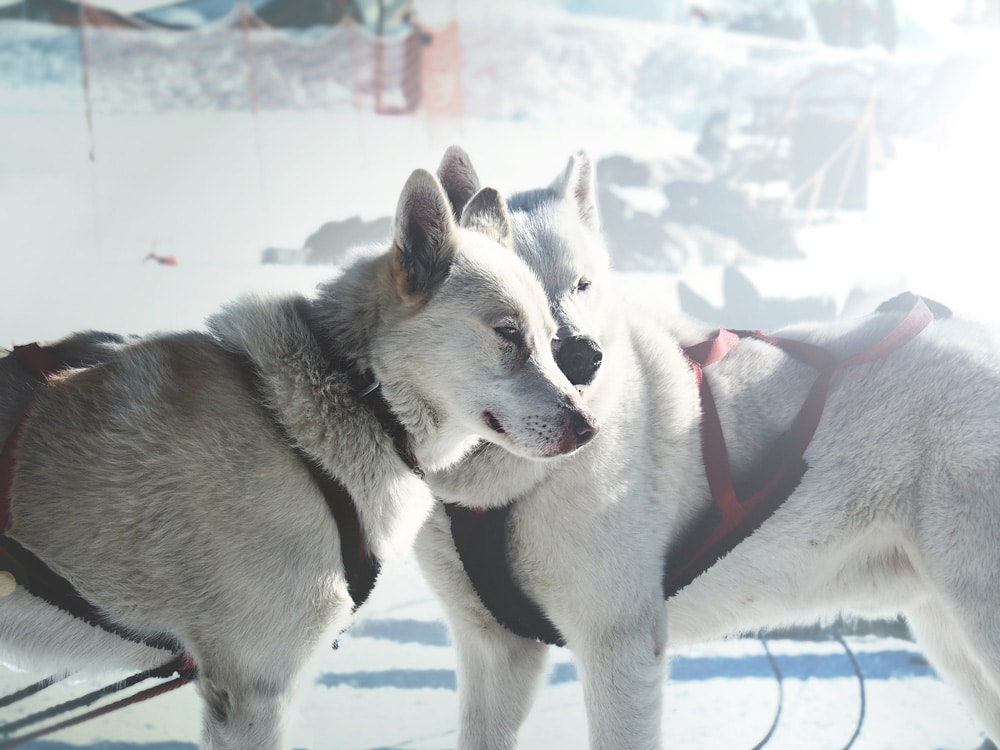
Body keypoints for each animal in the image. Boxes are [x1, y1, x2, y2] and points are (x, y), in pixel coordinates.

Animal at [414, 144, 1000, 748]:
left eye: (582, 284)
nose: (583, 356)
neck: (502, 485)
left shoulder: (619, 648)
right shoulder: (492, 651)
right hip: (949, 637)